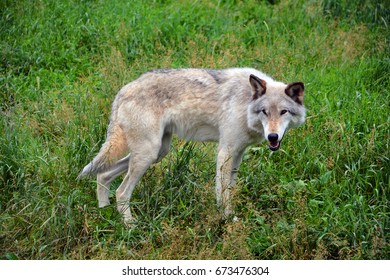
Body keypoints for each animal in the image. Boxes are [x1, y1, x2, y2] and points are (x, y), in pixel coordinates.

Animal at [77, 66, 306, 224]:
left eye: (283, 112)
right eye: (264, 112)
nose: (273, 137)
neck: (246, 103)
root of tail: (123, 90)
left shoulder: (238, 154)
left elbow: (230, 188)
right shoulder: (225, 152)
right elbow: (222, 193)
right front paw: (227, 219)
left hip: (157, 153)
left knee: (102, 175)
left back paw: (104, 213)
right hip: (147, 155)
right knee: (121, 192)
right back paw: (130, 226)